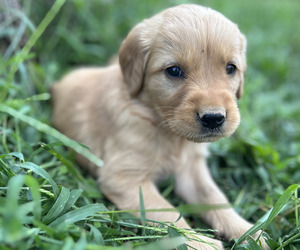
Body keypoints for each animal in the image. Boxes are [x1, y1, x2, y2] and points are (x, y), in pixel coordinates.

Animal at [52, 3, 268, 250]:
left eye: (231, 68)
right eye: (173, 71)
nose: (214, 118)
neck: (168, 130)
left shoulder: (191, 170)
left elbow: (214, 197)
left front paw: (247, 231)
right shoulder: (125, 178)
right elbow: (169, 213)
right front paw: (200, 242)